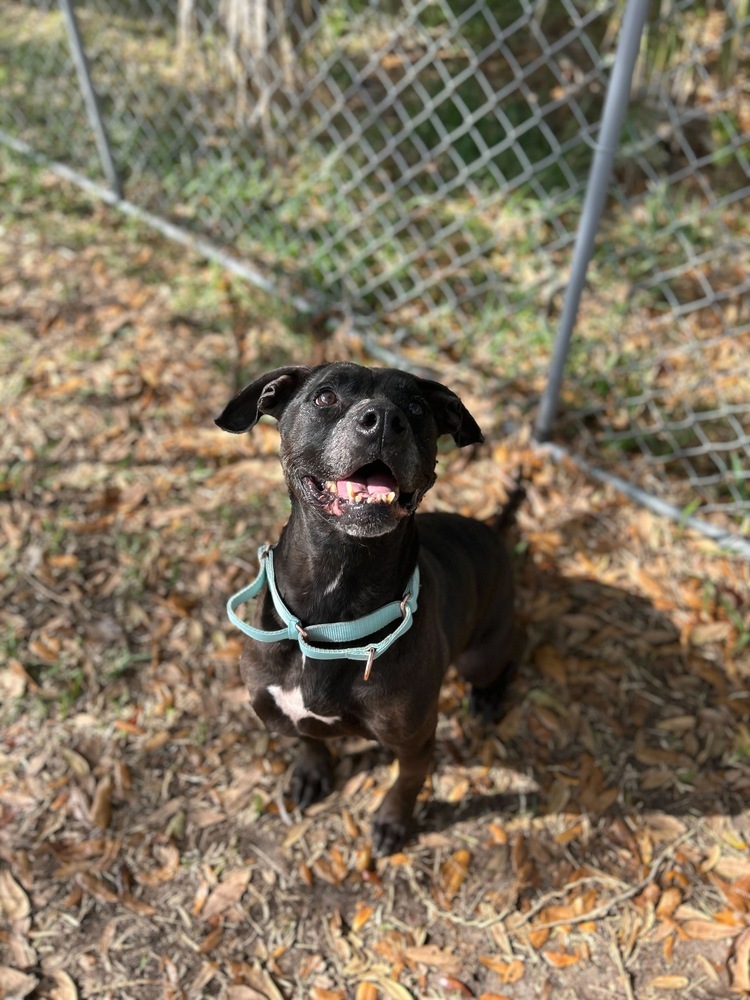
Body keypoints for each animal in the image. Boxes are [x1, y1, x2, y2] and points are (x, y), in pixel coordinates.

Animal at [217, 360, 524, 852]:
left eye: (416, 408)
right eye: (325, 397)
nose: (383, 419)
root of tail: (493, 528)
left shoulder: (415, 739)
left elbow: (407, 782)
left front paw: (392, 822)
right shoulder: (285, 713)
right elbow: (310, 740)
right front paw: (312, 772)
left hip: (480, 654)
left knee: (513, 646)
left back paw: (489, 698)